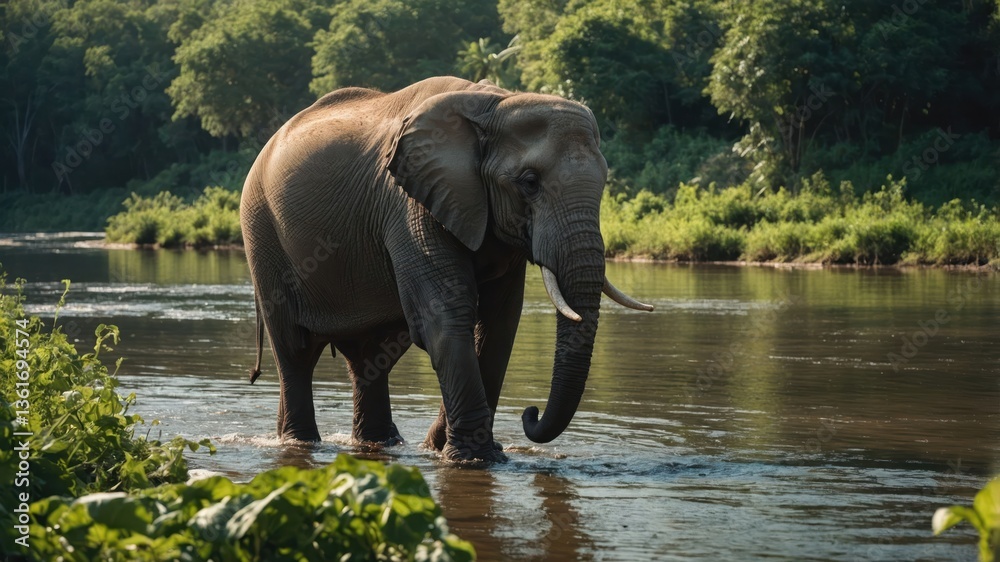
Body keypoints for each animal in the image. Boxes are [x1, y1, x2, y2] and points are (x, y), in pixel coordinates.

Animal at [240, 76, 652, 463]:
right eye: (530, 183)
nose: (530, 413)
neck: (496, 103)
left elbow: (499, 324)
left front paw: (444, 448)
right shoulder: (409, 205)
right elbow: (445, 316)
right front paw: (474, 459)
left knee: (371, 357)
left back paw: (382, 443)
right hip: (261, 233)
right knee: (295, 351)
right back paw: (300, 442)